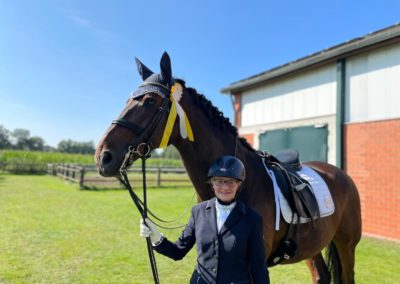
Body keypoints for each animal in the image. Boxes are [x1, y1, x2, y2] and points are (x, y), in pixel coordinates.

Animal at [95, 53, 360, 284]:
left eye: (149, 101)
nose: (103, 156)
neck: (244, 181)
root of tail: (341, 175)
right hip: (313, 245)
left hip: (347, 245)